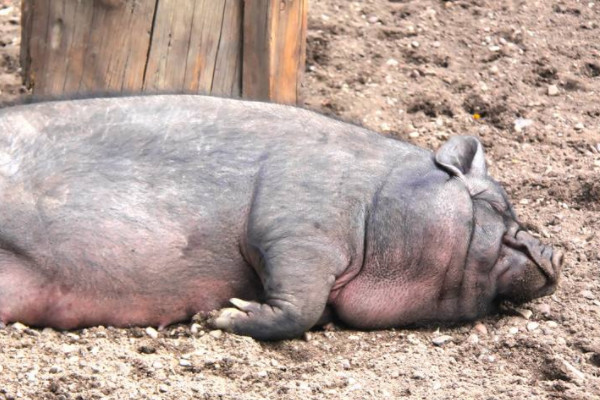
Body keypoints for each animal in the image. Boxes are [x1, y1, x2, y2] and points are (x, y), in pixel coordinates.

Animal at [0, 95, 564, 340]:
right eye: (493, 205)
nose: (554, 251)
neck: (374, 200)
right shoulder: (295, 229)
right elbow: (301, 305)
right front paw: (219, 316)